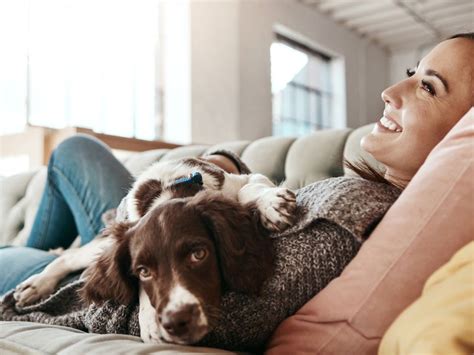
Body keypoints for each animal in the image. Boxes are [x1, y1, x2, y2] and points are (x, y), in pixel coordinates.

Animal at [13, 153, 296, 344]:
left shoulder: (242, 179)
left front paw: (272, 204)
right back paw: (35, 285)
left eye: (199, 255)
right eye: (143, 271)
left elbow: (252, 186)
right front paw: (150, 320)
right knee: (70, 257)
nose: (178, 321)